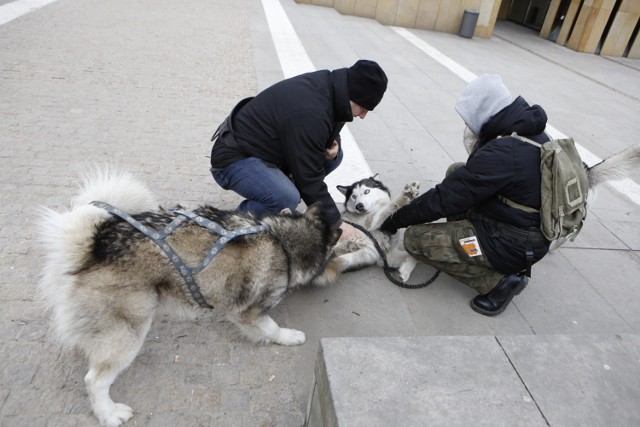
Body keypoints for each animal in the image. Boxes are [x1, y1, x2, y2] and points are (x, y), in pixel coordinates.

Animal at [38, 168, 342, 427]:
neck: (282, 241)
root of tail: (95, 246)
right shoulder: (249, 311)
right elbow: (271, 327)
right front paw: (289, 336)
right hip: (128, 332)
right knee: (94, 380)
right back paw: (109, 414)